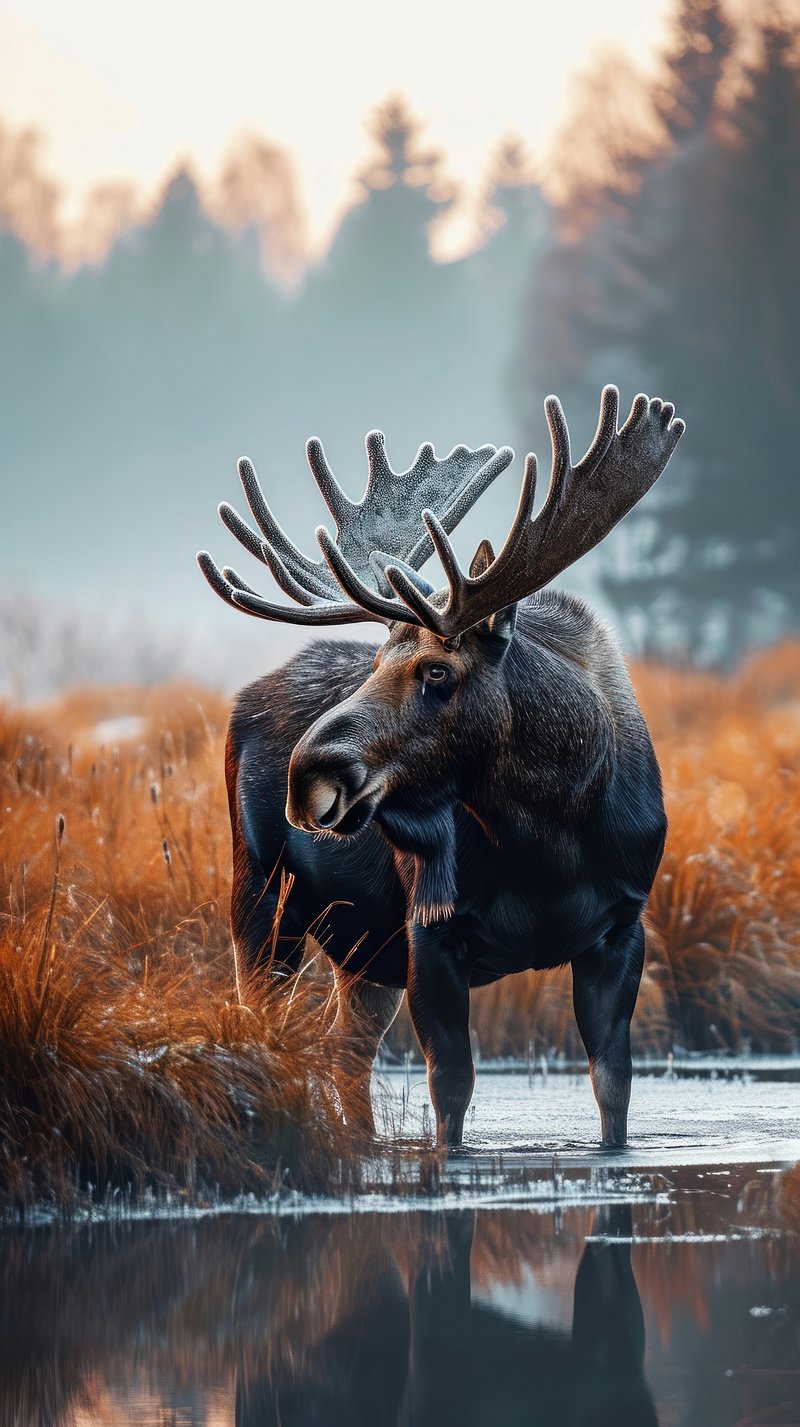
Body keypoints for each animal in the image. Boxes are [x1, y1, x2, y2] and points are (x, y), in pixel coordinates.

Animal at [198, 385, 684, 1149]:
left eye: (437, 672)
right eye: (374, 660)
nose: (308, 773)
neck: (548, 841)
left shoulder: (621, 927)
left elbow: (614, 1094)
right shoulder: (429, 928)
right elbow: (449, 1096)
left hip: (363, 950)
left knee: (343, 1048)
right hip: (260, 892)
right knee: (268, 1023)